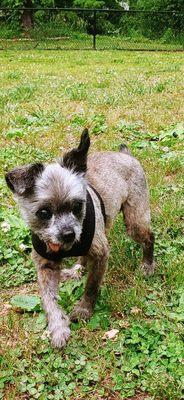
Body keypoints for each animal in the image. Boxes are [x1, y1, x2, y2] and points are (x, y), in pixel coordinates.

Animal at [5, 130, 154, 346]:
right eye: (44, 212)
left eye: (77, 206)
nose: (69, 234)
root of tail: (126, 155)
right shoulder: (45, 266)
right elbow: (49, 300)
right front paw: (58, 327)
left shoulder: (101, 255)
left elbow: (91, 287)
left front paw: (84, 309)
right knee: (84, 257)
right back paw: (77, 270)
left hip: (135, 222)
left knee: (149, 237)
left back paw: (148, 265)